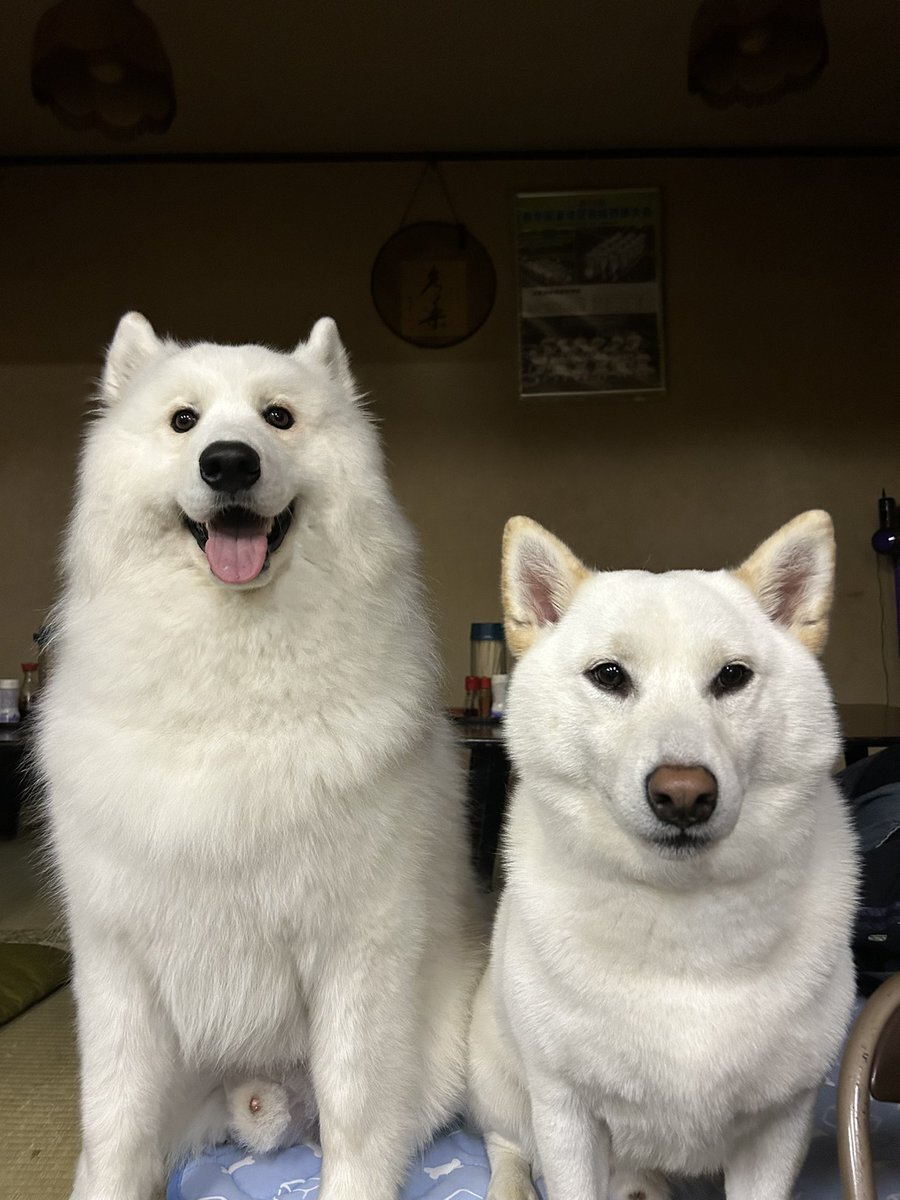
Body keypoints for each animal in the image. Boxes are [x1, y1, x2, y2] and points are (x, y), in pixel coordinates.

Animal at [36, 313, 484, 1200]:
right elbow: (113, 1126)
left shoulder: (355, 950)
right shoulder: (116, 962)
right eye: (183, 422)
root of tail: (259, 1093)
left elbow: (355, 1115)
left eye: (279, 418)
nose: (229, 461)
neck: (230, 682)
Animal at [468, 512, 858, 1200]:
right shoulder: (565, 1110)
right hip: (496, 1075)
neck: (681, 916)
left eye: (732, 676)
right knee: (506, 1144)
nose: (683, 794)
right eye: (609, 676)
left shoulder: (782, 1117)